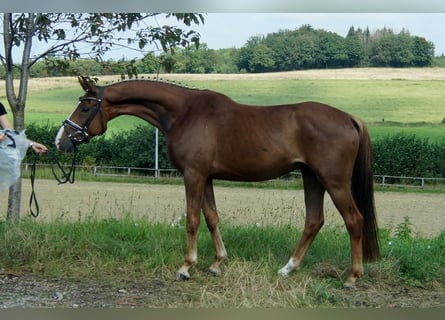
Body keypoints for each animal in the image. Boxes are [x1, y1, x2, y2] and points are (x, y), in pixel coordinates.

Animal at [54, 75, 378, 288]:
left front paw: (186, 267)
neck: (185, 113)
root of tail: (349, 118)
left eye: (85, 108)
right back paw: (288, 268)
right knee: (314, 221)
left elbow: (192, 219)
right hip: (312, 178)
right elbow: (211, 218)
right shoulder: (206, 177)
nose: (60, 141)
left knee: (353, 220)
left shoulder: (193, 174)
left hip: (334, 181)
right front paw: (217, 263)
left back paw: (352, 277)